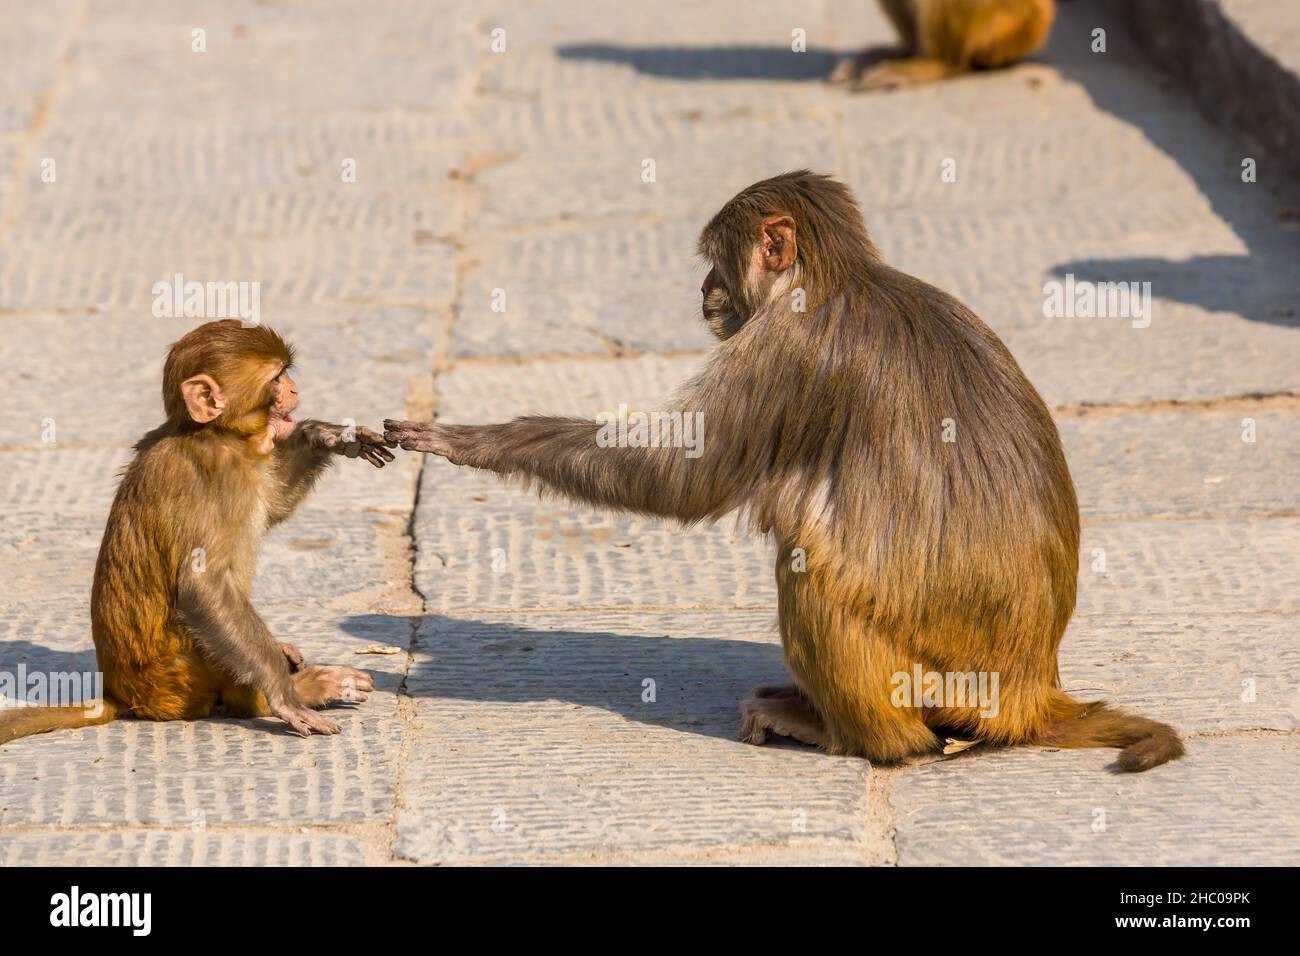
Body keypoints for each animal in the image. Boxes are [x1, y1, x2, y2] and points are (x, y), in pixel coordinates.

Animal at [0, 321, 390, 749]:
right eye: (276, 378)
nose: (293, 389)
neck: (214, 433)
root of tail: (120, 695)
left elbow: (273, 505)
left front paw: (326, 435)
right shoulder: (218, 474)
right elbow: (201, 585)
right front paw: (285, 696)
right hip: (182, 674)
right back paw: (298, 687)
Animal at [379, 170, 1185, 770]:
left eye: (717, 260)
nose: (704, 288)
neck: (836, 278)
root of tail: (1030, 693)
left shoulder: (786, 346)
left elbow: (681, 480)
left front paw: (479, 440)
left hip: (931, 684)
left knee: (807, 558)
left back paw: (874, 742)